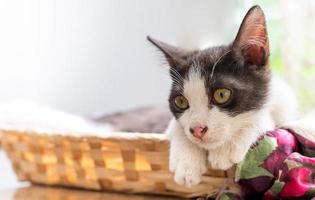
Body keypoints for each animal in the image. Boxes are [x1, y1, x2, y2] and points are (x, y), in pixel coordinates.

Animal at [148, 5, 298, 188]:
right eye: (181, 101)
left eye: (221, 94)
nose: (197, 130)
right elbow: (176, 126)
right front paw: (186, 161)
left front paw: (227, 148)